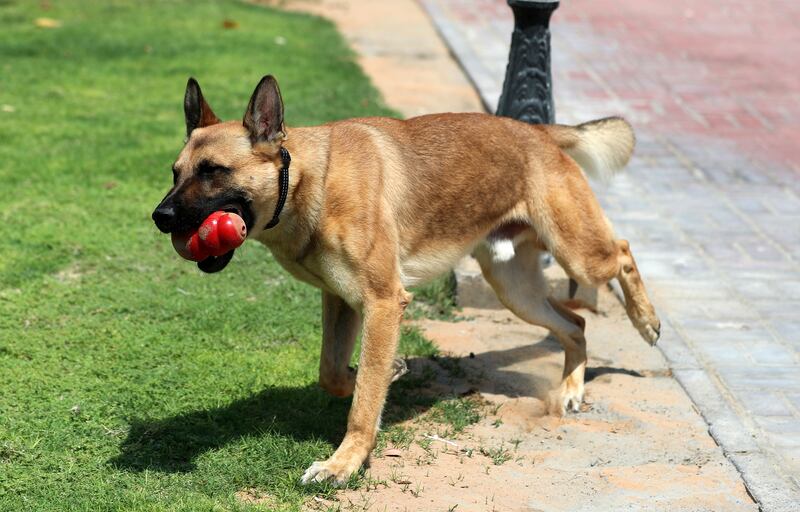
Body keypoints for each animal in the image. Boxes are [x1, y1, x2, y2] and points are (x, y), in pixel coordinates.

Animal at [152, 75, 664, 484]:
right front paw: (388, 371)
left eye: (213, 171)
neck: (310, 179)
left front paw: (342, 464)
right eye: (175, 173)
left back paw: (646, 320)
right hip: (514, 289)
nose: (160, 217)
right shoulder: (342, 301)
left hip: (578, 255)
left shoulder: (382, 302)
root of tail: (537, 130)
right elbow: (335, 374)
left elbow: (361, 402)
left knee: (622, 253)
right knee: (575, 325)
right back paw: (572, 388)